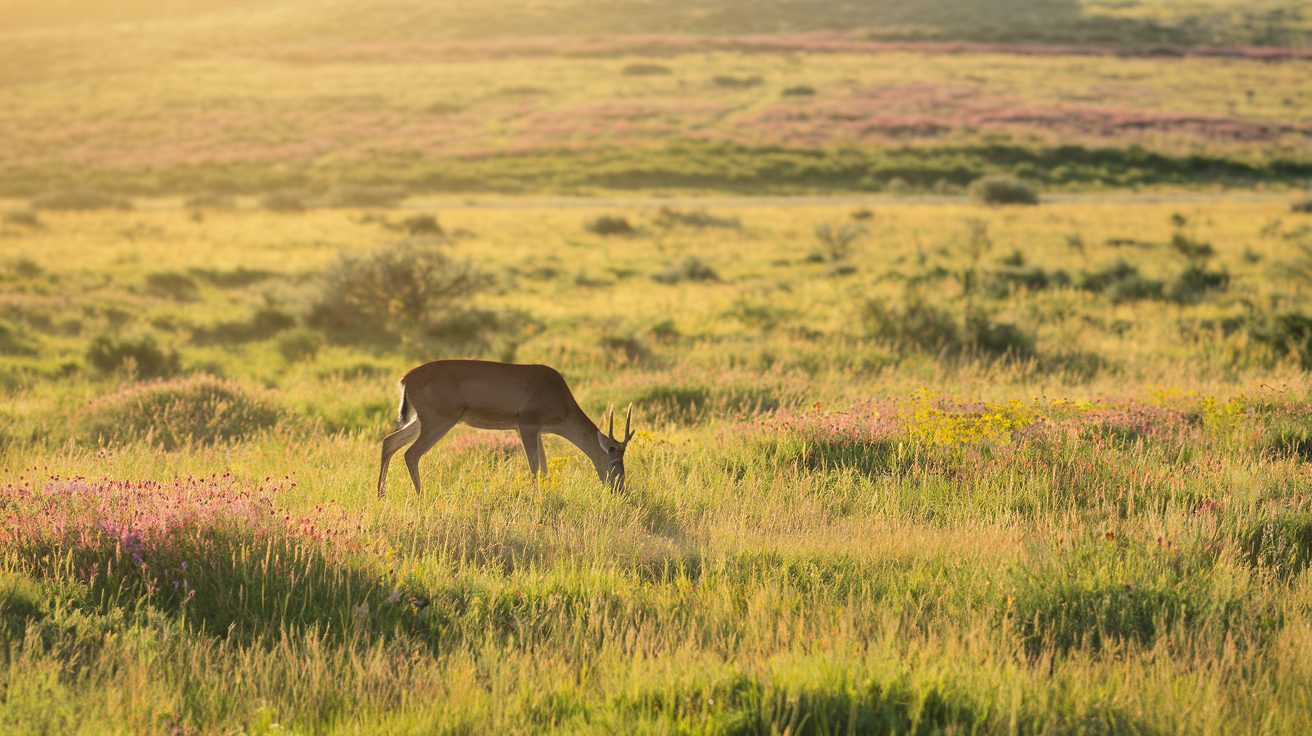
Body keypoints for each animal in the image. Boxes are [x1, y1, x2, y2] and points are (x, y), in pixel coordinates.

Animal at [375, 359, 635, 495]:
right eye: (614, 461)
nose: (619, 489)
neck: (558, 396)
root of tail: (406, 379)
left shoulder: (536, 431)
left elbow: (544, 467)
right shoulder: (526, 425)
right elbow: (534, 467)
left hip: (422, 421)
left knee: (390, 442)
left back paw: (381, 495)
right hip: (438, 421)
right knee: (411, 453)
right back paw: (421, 496)